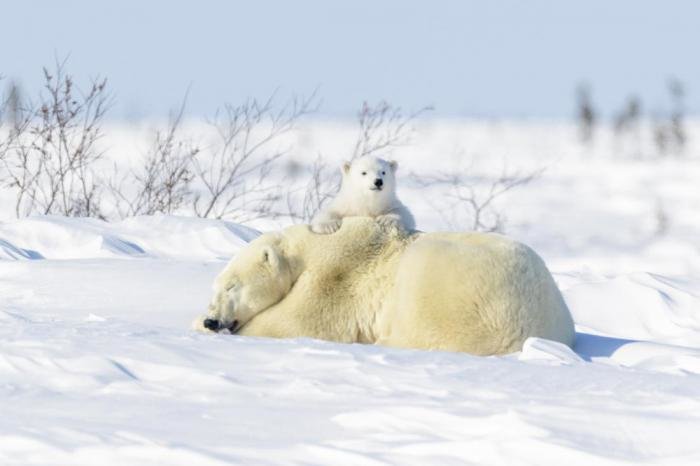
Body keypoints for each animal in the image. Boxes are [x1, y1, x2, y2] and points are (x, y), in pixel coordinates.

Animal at [194, 217, 575, 356]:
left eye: (231, 287)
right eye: (216, 286)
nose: (212, 319)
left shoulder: (338, 273)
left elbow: (298, 320)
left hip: (457, 290)